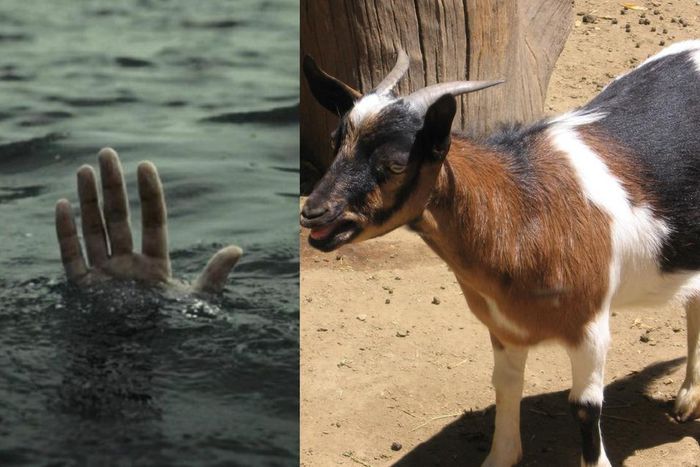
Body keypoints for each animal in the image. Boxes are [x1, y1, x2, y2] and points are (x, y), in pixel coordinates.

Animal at [300, 41, 700, 467]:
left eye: (395, 164)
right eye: (335, 140)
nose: (314, 212)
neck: (524, 212)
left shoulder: (590, 326)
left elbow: (584, 408)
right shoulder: (504, 326)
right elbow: (506, 385)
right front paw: (502, 455)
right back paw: (689, 398)